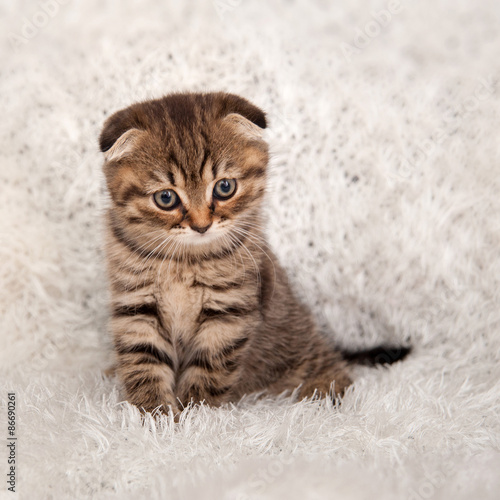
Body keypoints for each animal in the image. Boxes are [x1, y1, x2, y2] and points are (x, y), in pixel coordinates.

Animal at [98, 92, 410, 412]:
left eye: (224, 187)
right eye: (165, 198)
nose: (201, 226)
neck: (186, 261)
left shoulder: (228, 312)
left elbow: (207, 372)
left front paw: (194, 414)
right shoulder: (136, 306)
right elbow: (142, 366)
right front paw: (153, 414)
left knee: (332, 367)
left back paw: (325, 388)